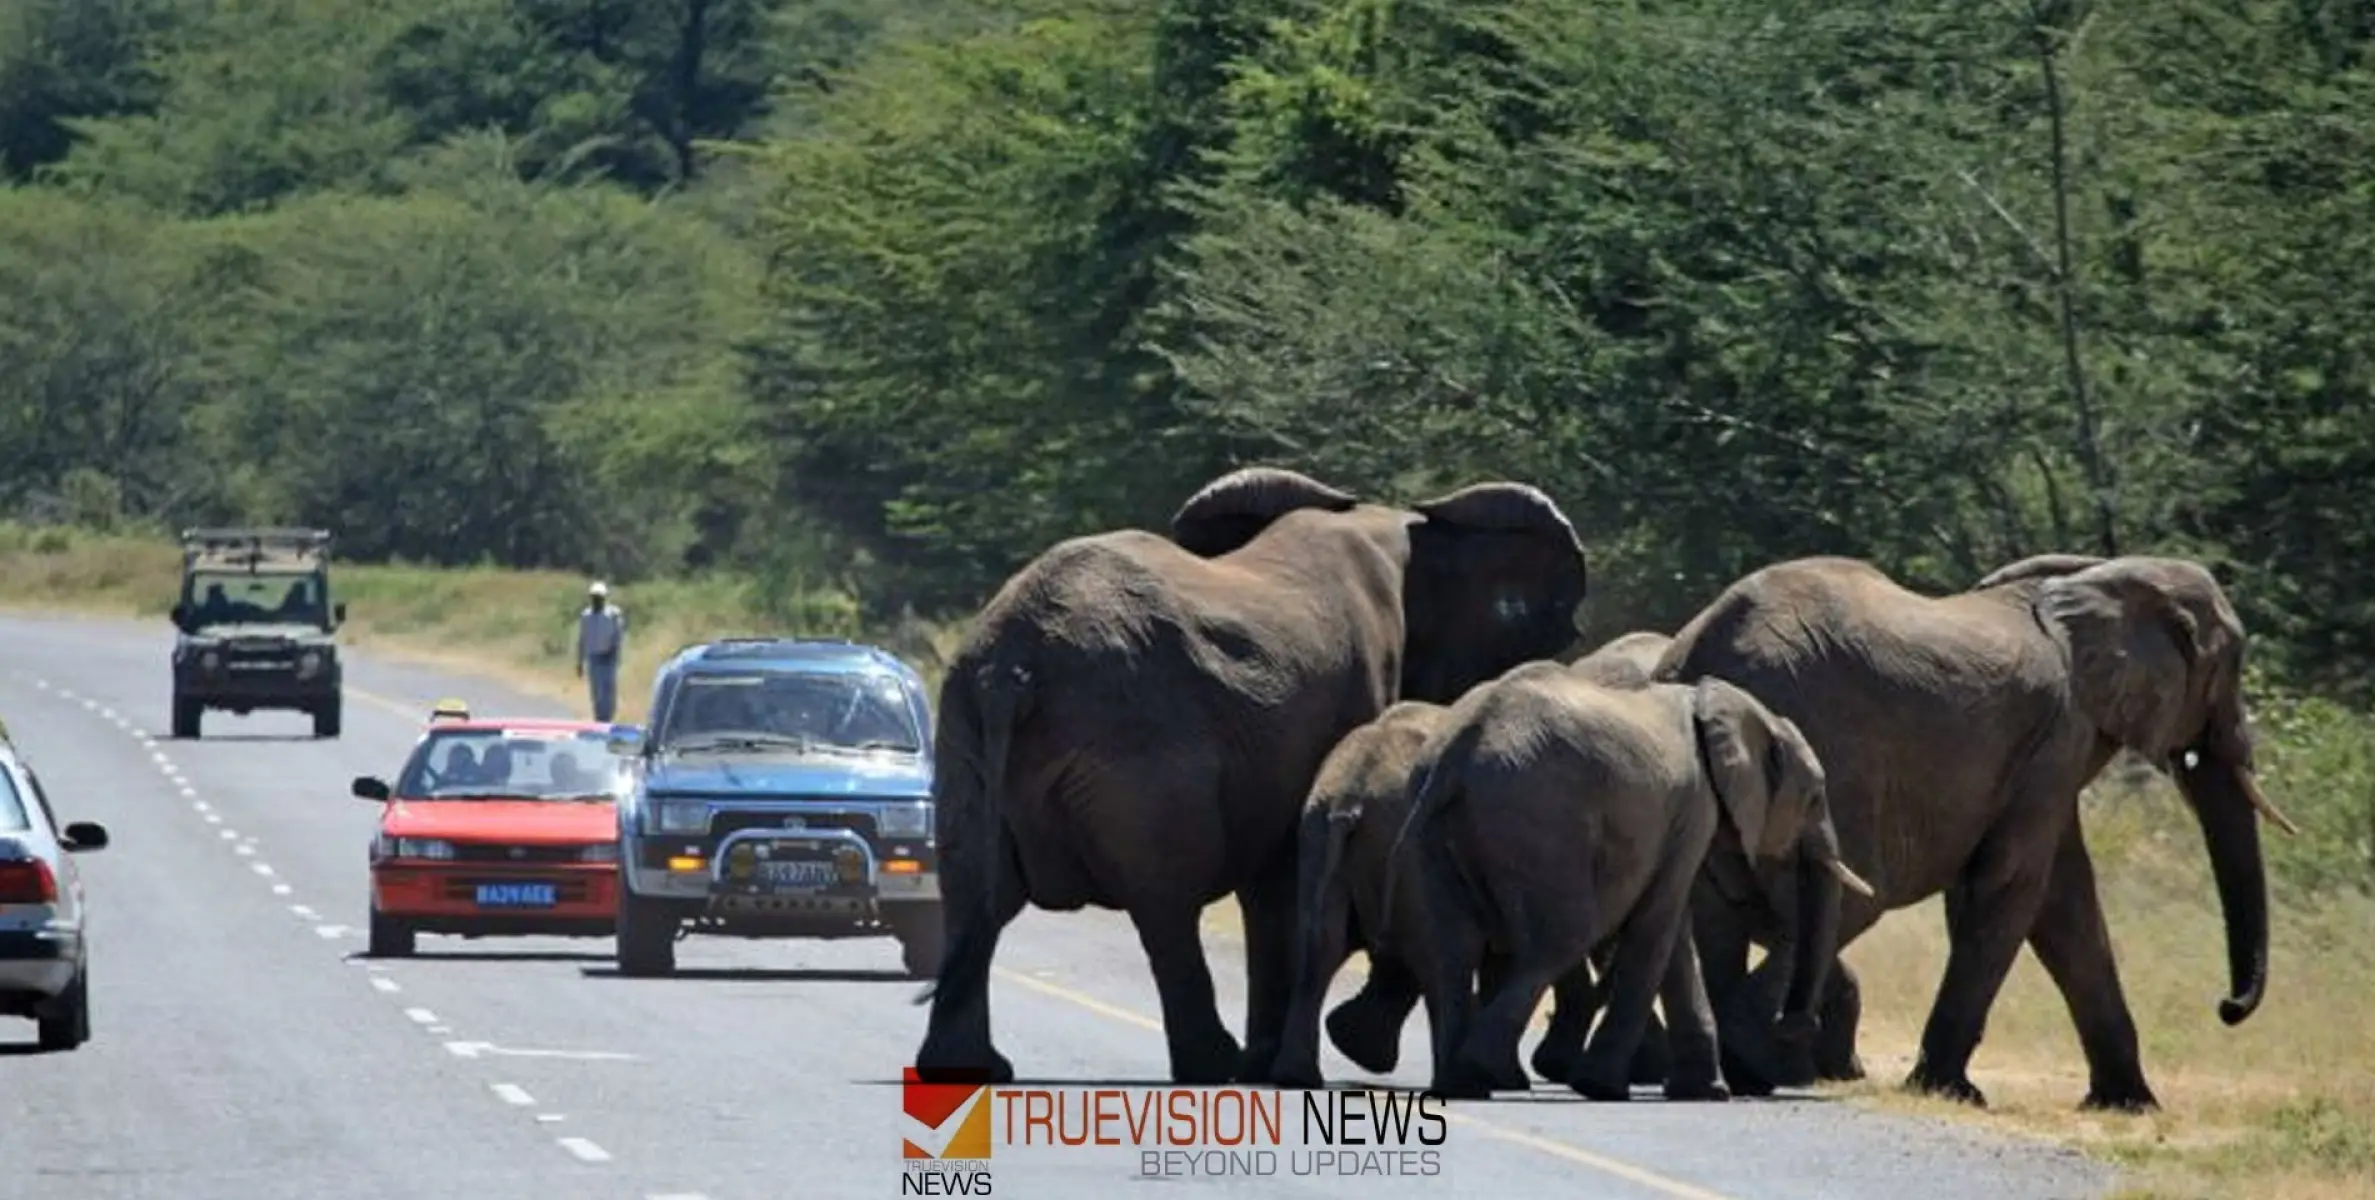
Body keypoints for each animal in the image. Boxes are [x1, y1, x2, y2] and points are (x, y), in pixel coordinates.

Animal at [916, 468, 1586, 1083]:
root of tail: (1012, 669)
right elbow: (1294, 882)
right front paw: (1288, 1059)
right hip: (1138, 757)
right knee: (1165, 903)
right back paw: (1213, 1064)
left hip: (965, 739)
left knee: (975, 894)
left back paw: (968, 1068)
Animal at [1377, 670, 1871, 1097]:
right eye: (1814, 797)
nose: (1795, 1024)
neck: (1722, 704)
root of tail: (1458, 750)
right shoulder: (1695, 807)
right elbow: (1659, 923)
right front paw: (1603, 1088)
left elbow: (1674, 936)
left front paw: (1703, 1093)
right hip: (1540, 822)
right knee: (1563, 936)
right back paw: (1487, 1071)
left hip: (1441, 831)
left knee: (1454, 947)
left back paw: (1462, 1085)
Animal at [1653, 546, 2299, 1107]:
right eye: (2230, 669)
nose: (2227, 1006)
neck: (2103, 574)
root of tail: (1698, 653)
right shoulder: (2057, 735)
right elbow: (2013, 888)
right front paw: (1951, 1091)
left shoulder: (2047, 751)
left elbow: (2066, 906)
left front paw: (2130, 1105)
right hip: (1829, 751)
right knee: (1848, 903)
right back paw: (1762, 1058)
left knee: (1727, 916)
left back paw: (1743, 1068)